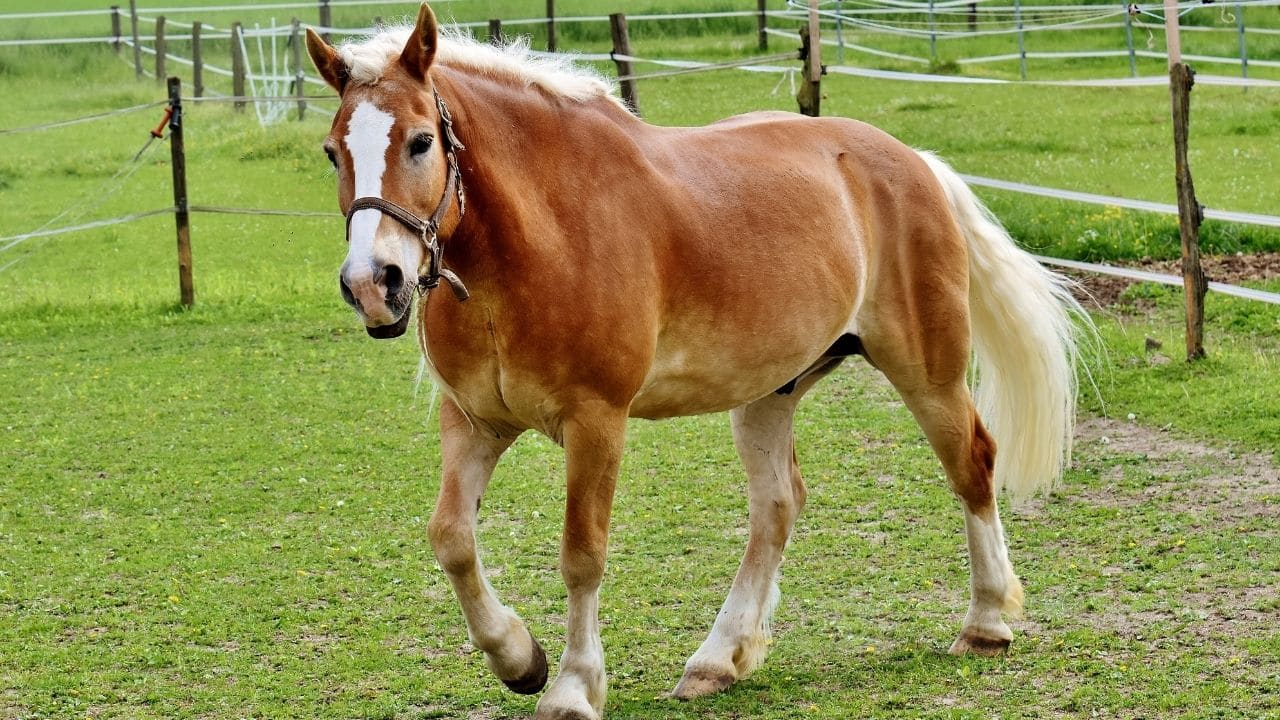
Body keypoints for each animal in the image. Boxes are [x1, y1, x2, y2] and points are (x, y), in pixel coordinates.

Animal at [304, 4, 1085, 712]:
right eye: (333, 151)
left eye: (420, 141)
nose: (374, 284)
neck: (533, 242)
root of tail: (913, 162)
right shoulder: (474, 422)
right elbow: (452, 539)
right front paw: (518, 658)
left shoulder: (596, 422)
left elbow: (582, 553)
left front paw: (573, 686)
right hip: (770, 392)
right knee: (777, 506)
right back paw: (720, 659)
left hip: (927, 371)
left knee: (972, 464)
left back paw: (986, 623)